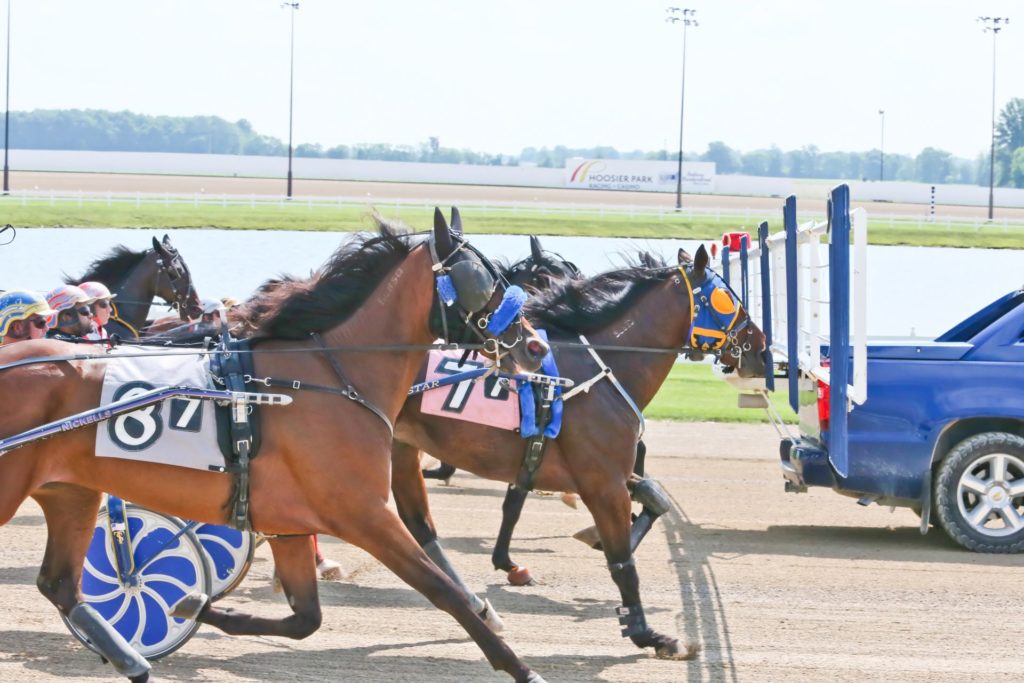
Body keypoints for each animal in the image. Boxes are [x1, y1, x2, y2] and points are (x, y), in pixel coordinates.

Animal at [0, 211, 552, 683]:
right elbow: (444, 591)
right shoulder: (365, 514)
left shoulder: (290, 524)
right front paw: (522, 667)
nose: (536, 346)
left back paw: (132, 660)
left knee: (60, 584)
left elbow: (305, 619)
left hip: (70, 491)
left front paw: (194, 604)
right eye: (481, 279)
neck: (330, 375)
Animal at [387, 244, 765, 663]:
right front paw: (647, 633)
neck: (598, 371)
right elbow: (623, 563)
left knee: (418, 524)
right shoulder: (603, 483)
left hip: (400, 447)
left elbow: (655, 498)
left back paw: (478, 607)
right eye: (730, 300)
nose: (762, 348)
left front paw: (590, 539)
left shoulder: (597, 472)